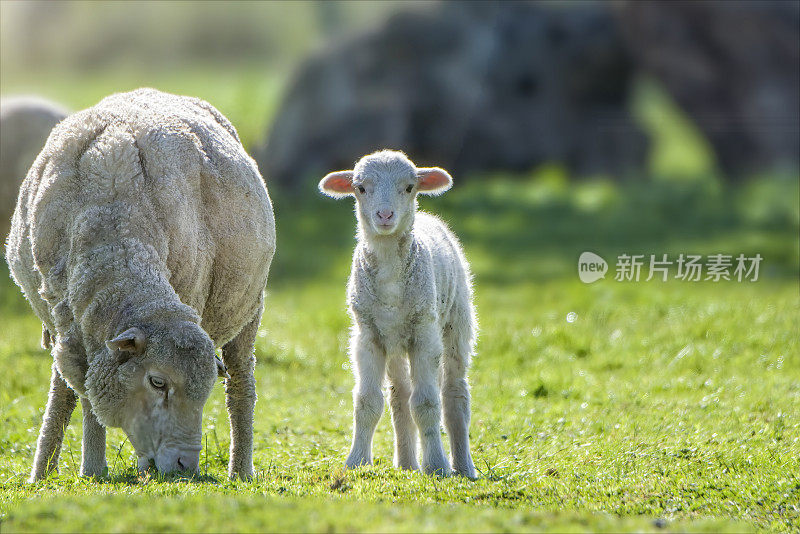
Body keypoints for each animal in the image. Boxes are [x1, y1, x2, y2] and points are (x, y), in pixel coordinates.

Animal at [318, 150, 478, 478]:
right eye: (360, 188)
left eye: (409, 187)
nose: (385, 216)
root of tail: (430, 219)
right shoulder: (367, 336)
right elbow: (367, 402)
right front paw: (356, 461)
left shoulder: (425, 334)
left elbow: (427, 404)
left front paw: (437, 466)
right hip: (393, 341)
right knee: (399, 397)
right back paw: (406, 463)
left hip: (456, 321)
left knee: (454, 394)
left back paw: (462, 466)